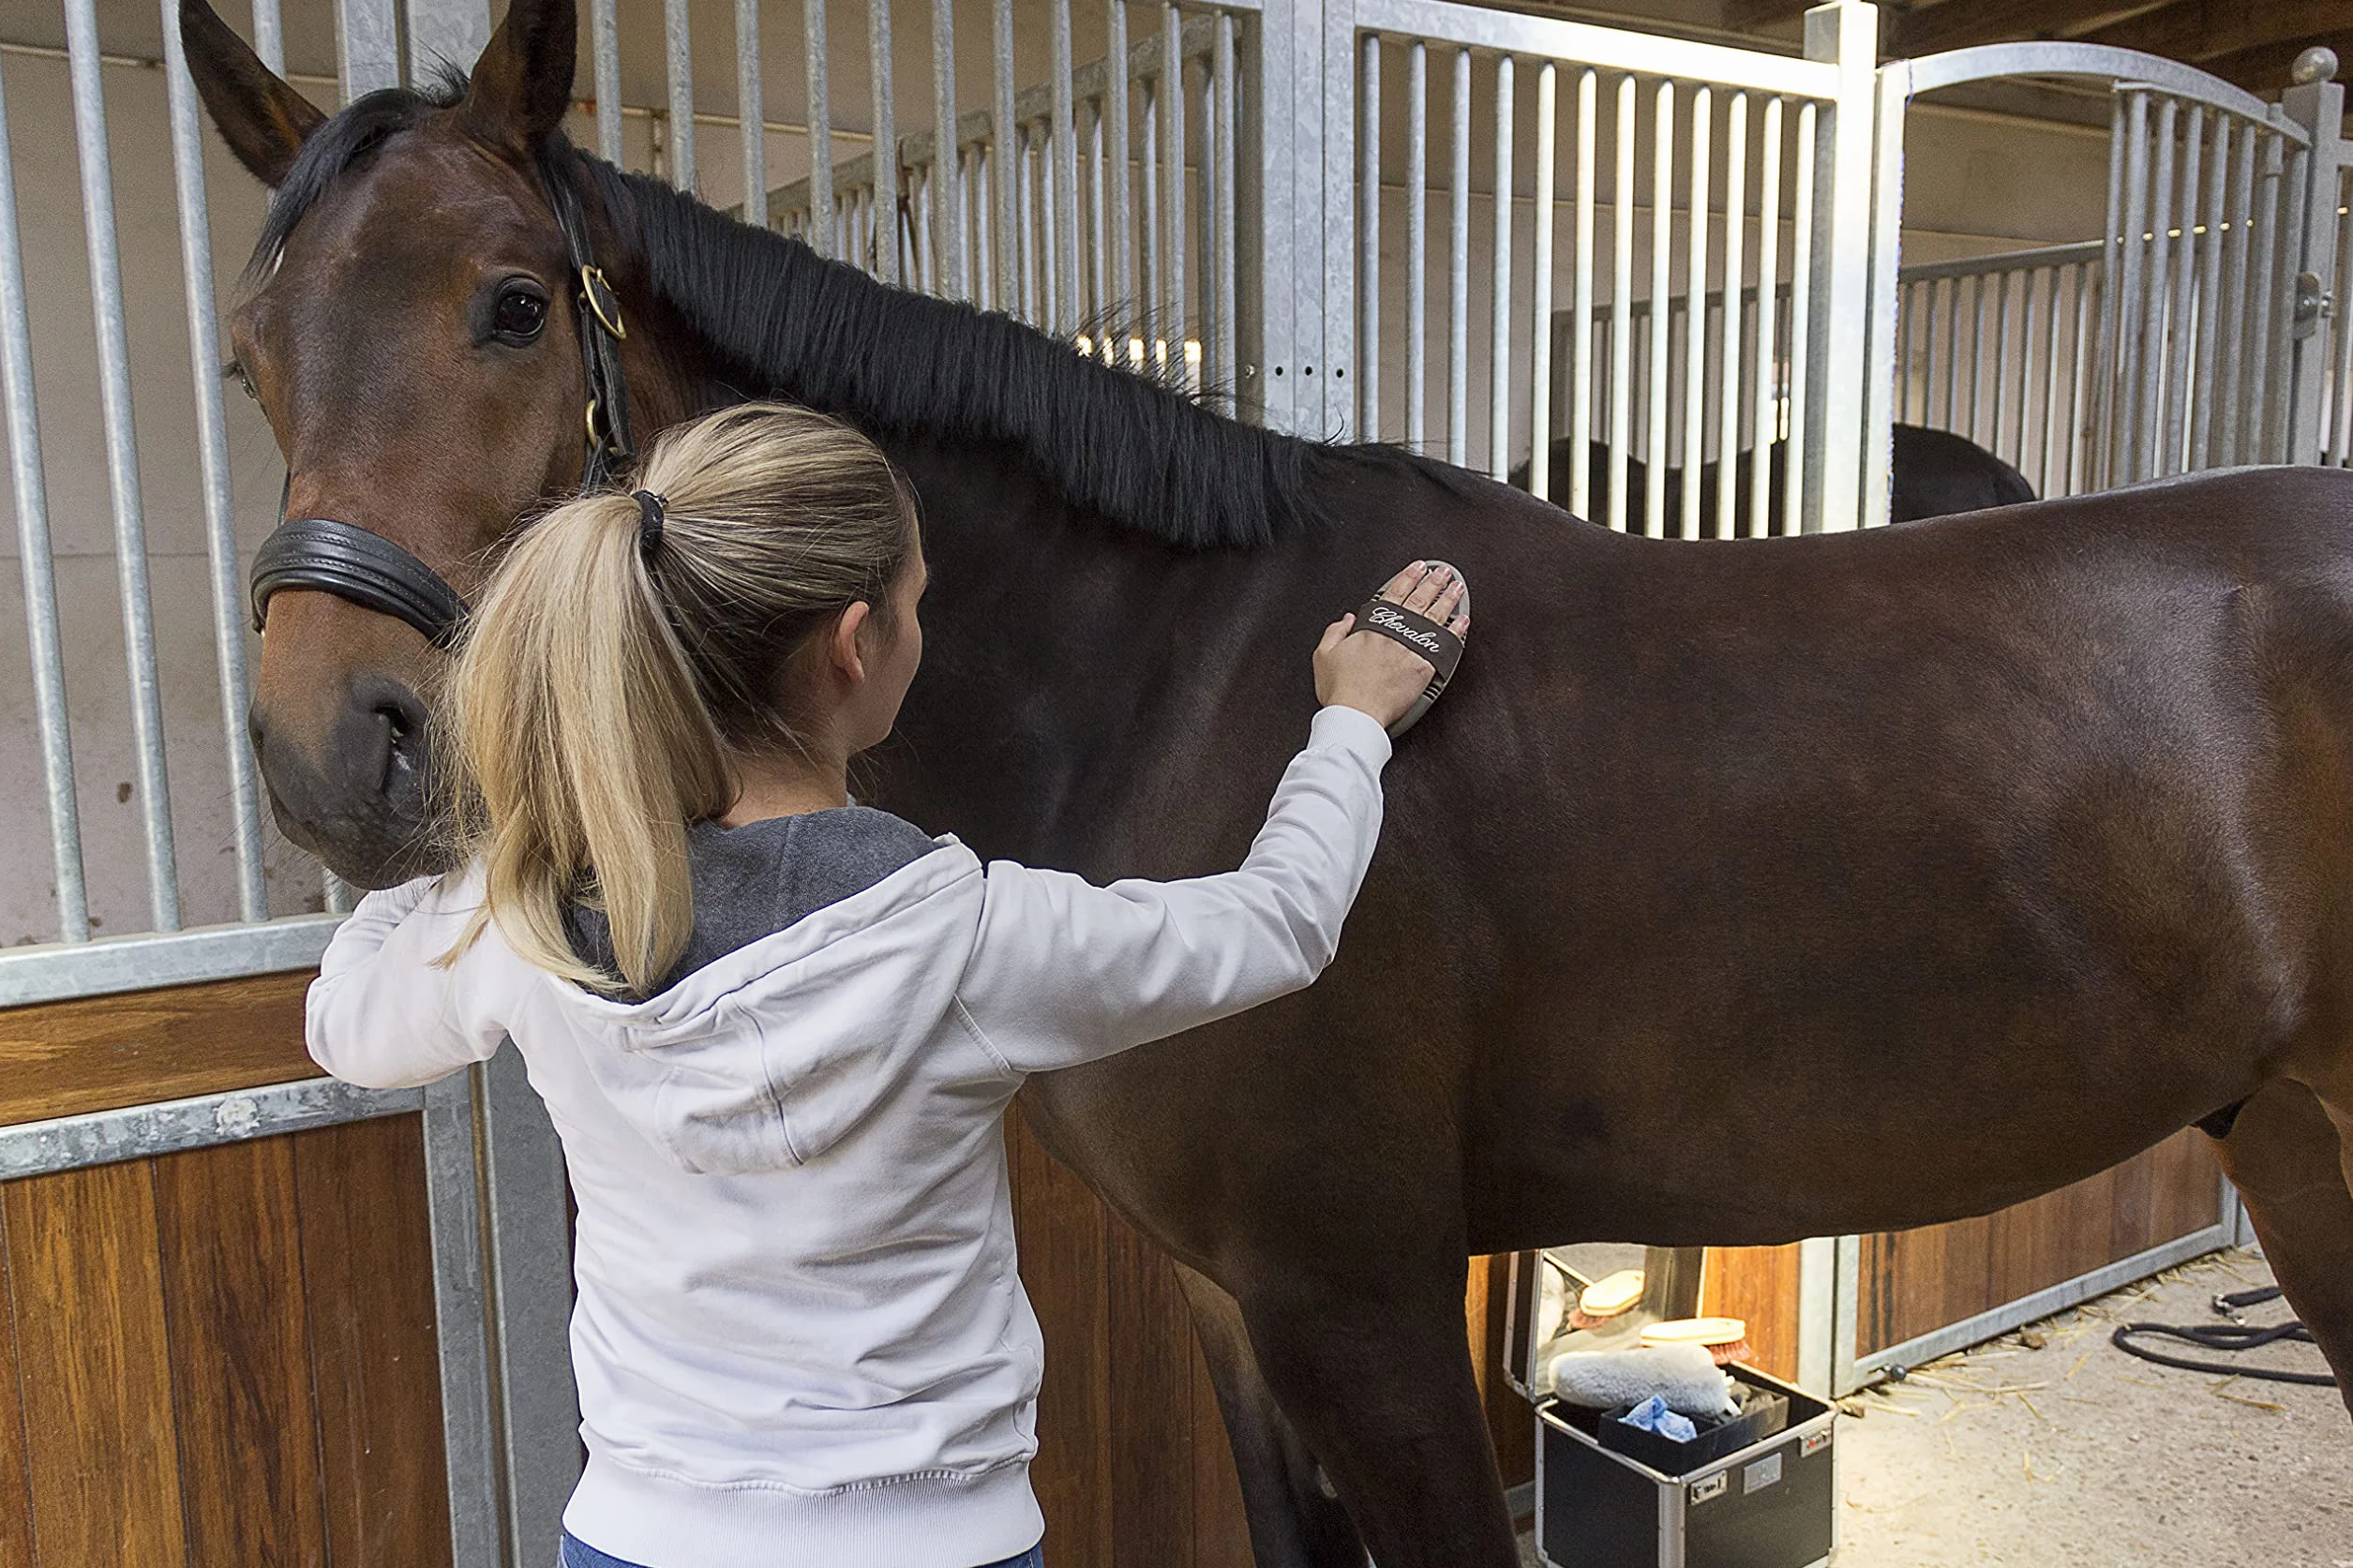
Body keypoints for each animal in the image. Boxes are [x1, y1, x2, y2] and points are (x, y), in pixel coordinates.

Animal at [183, 0, 2353, 1563]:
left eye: (512, 302)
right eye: (250, 352)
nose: (336, 751)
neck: (1169, 689)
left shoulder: (1362, 1295)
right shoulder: (1235, 1299)